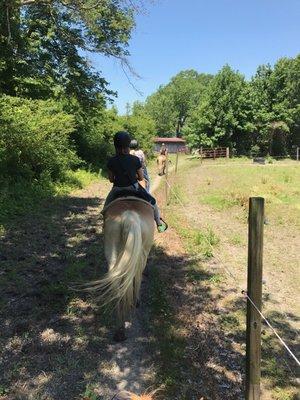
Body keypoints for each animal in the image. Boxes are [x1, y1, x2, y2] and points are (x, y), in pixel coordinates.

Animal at [84, 197, 155, 340]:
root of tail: (130, 216)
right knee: (137, 274)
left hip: (112, 254)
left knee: (117, 284)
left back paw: (120, 330)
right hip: (142, 253)